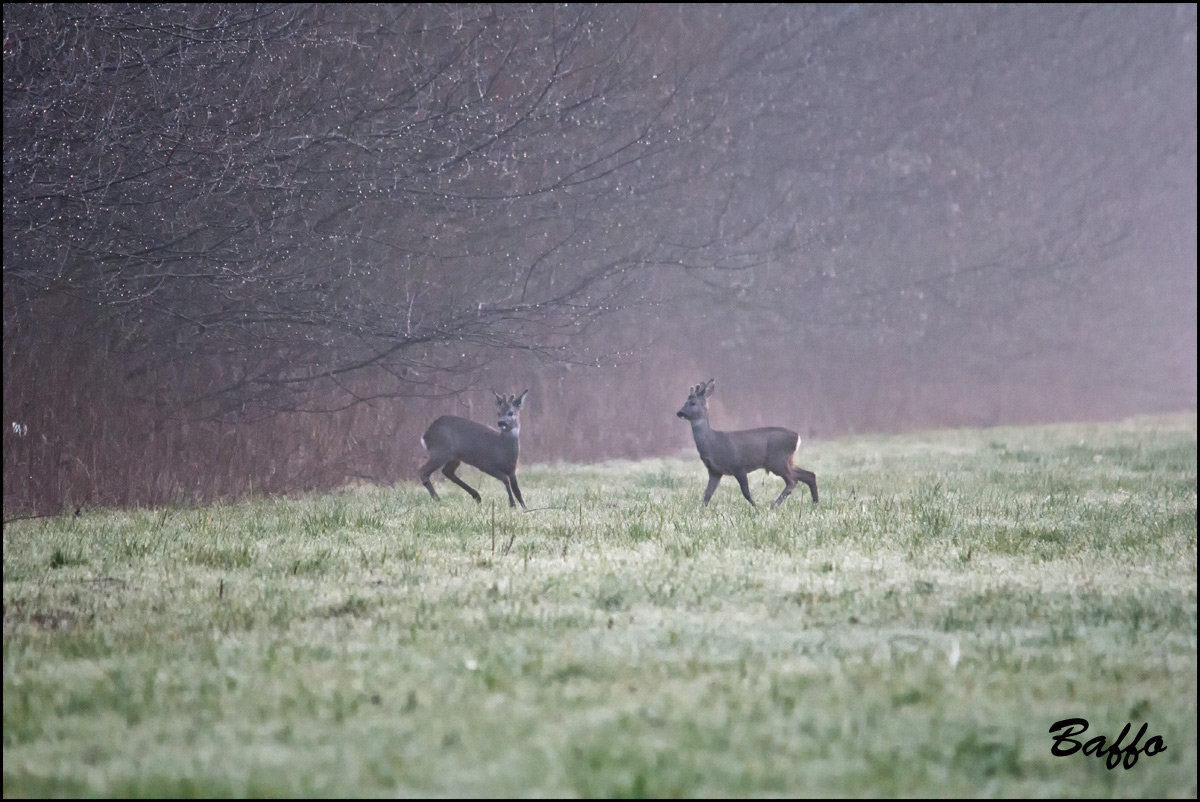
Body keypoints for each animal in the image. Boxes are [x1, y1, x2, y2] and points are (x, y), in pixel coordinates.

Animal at [676, 381, 816, 506]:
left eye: (693, 403)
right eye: (684, 402)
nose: (679, 412)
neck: (712, 443)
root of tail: (797, 437)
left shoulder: (738, 465)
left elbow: (745, 492)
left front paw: (756, 506)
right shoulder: (715, 471)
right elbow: (707, 494)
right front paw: (702, 509)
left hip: (777, 459)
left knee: (793, 480)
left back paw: (774, 505)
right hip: (785, 461)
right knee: (809, 474)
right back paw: (815, 502)